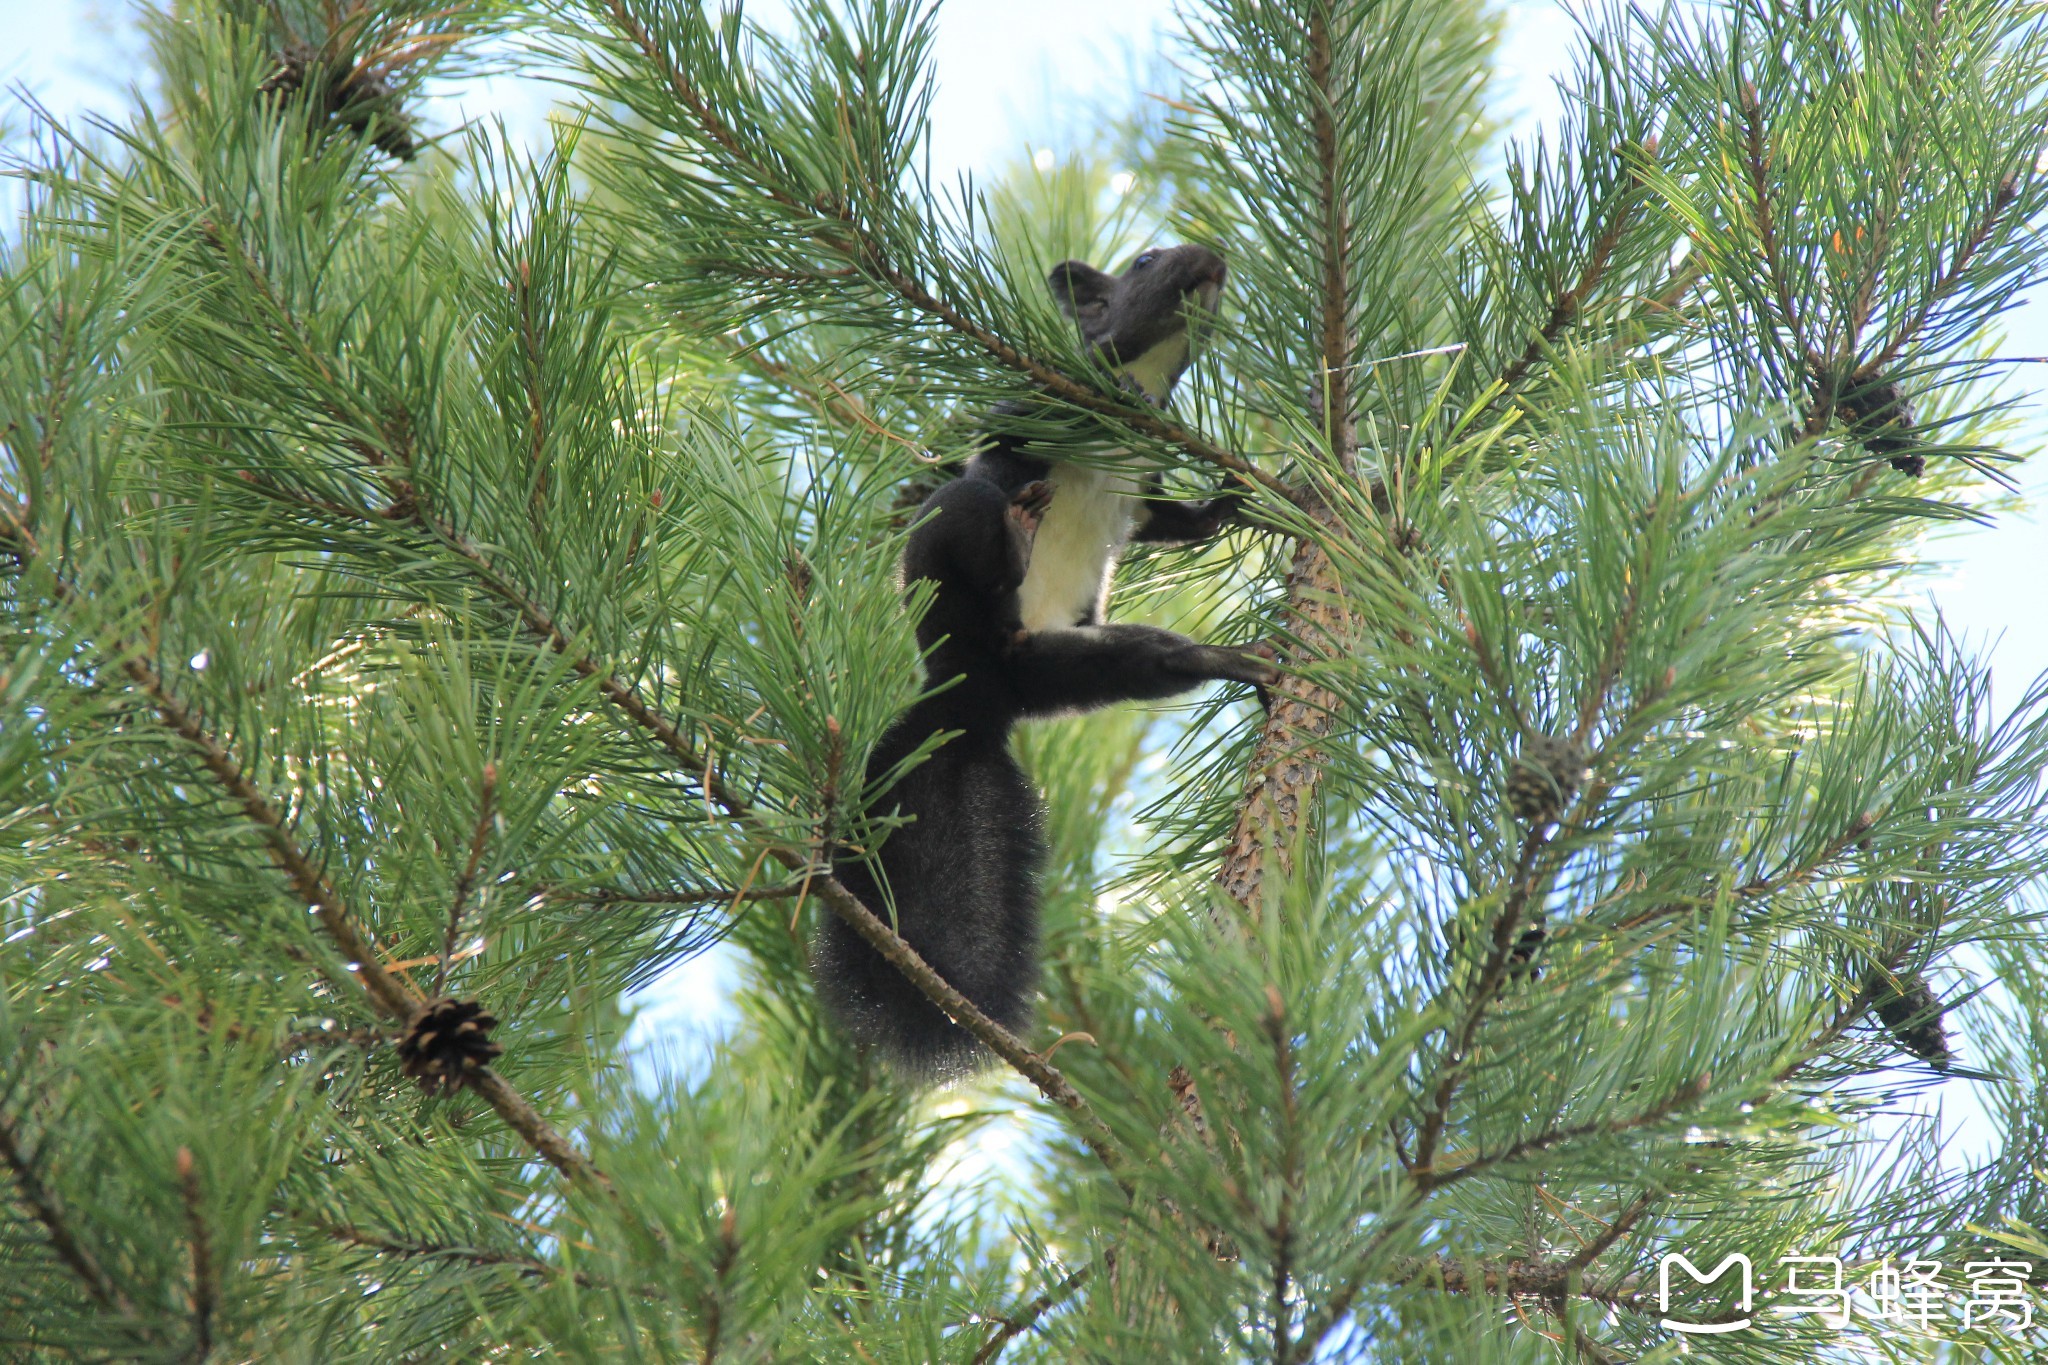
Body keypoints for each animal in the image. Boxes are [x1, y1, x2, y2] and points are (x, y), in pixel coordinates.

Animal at [811, 242, 1261, 1080]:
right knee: (973, 518)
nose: (1211, 254)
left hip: (1074, 663)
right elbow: (1016, 421)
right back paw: (1012, 548)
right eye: (1144, 260)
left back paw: (1245, 662)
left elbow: (1174, 522)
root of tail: (975, 695)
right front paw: (1112, 385)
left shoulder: (1146, 490)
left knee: (1157, 660)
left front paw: (1236, 496)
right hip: (952, 559)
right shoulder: (1033, 401)